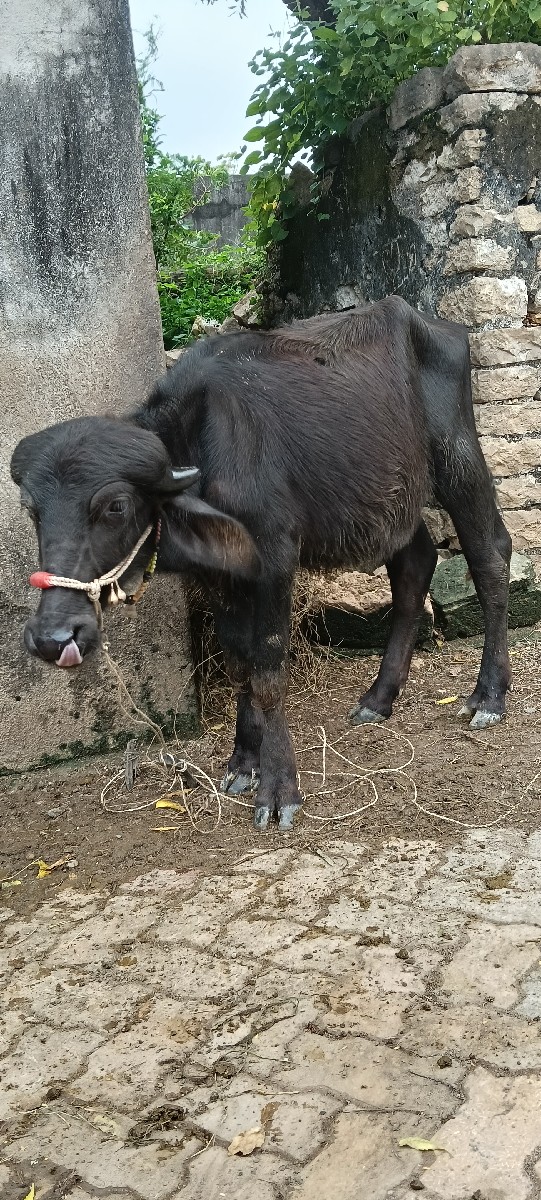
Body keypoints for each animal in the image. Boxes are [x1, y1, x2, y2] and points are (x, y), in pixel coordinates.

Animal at [10, 297, 512, 831]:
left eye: (115, 506)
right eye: (32, 509)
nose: (53, 637)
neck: (202, 447)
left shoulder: (275, 561)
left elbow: (269, 673)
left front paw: (277, 788)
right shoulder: (223, 575)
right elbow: (239, 664)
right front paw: (243, 761)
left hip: (458, 457)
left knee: (490, 558)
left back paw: (488, 696)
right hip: (393, 497)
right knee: (415, 565)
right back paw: (379, 698)